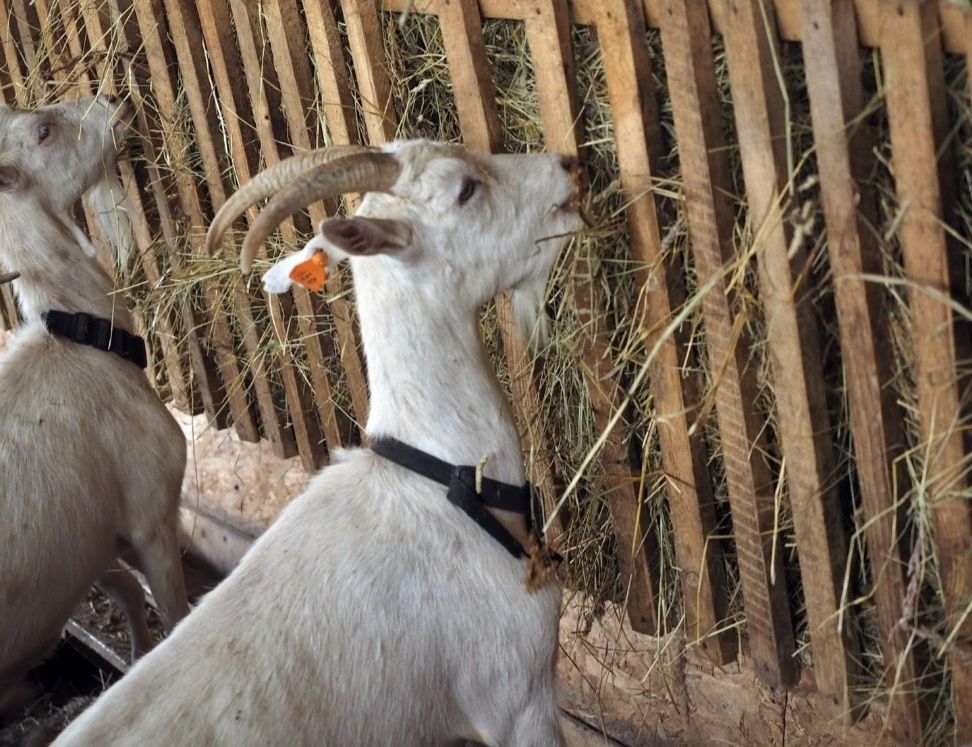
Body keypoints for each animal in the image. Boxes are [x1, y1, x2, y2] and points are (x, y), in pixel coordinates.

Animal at [0, 95, 188, 720]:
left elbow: (128, 591)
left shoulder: (85, 544)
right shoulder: (151, 514)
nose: (114, 101)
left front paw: (136, 655)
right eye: (44, 130)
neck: (76, 338)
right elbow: (177, 613)